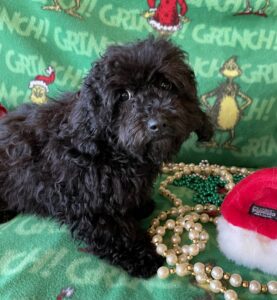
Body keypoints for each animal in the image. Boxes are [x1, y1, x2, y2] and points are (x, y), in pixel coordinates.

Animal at [0, 37, 211, 278]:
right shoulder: (87, 203)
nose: (157, 123)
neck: (113, 151)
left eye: (165, 85)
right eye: (124, 95)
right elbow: (114, 232)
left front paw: (139, 206)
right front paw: (140, 256)